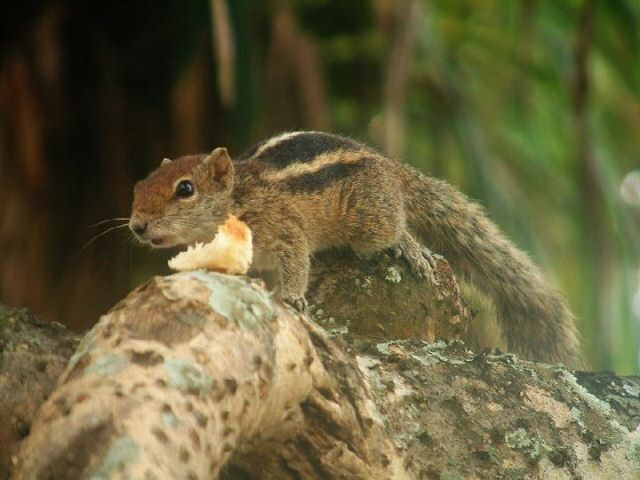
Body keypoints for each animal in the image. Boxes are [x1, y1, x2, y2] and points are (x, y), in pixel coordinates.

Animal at [129, 130, 580, 364]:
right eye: (140, 185)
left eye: (185, 189)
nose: (137, 225)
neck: (238, 197)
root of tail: (390, 167)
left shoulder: (286, 230)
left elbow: (297, 259)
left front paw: (294, 298)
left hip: (369, 222)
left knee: (395, 228)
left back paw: (410, 247)